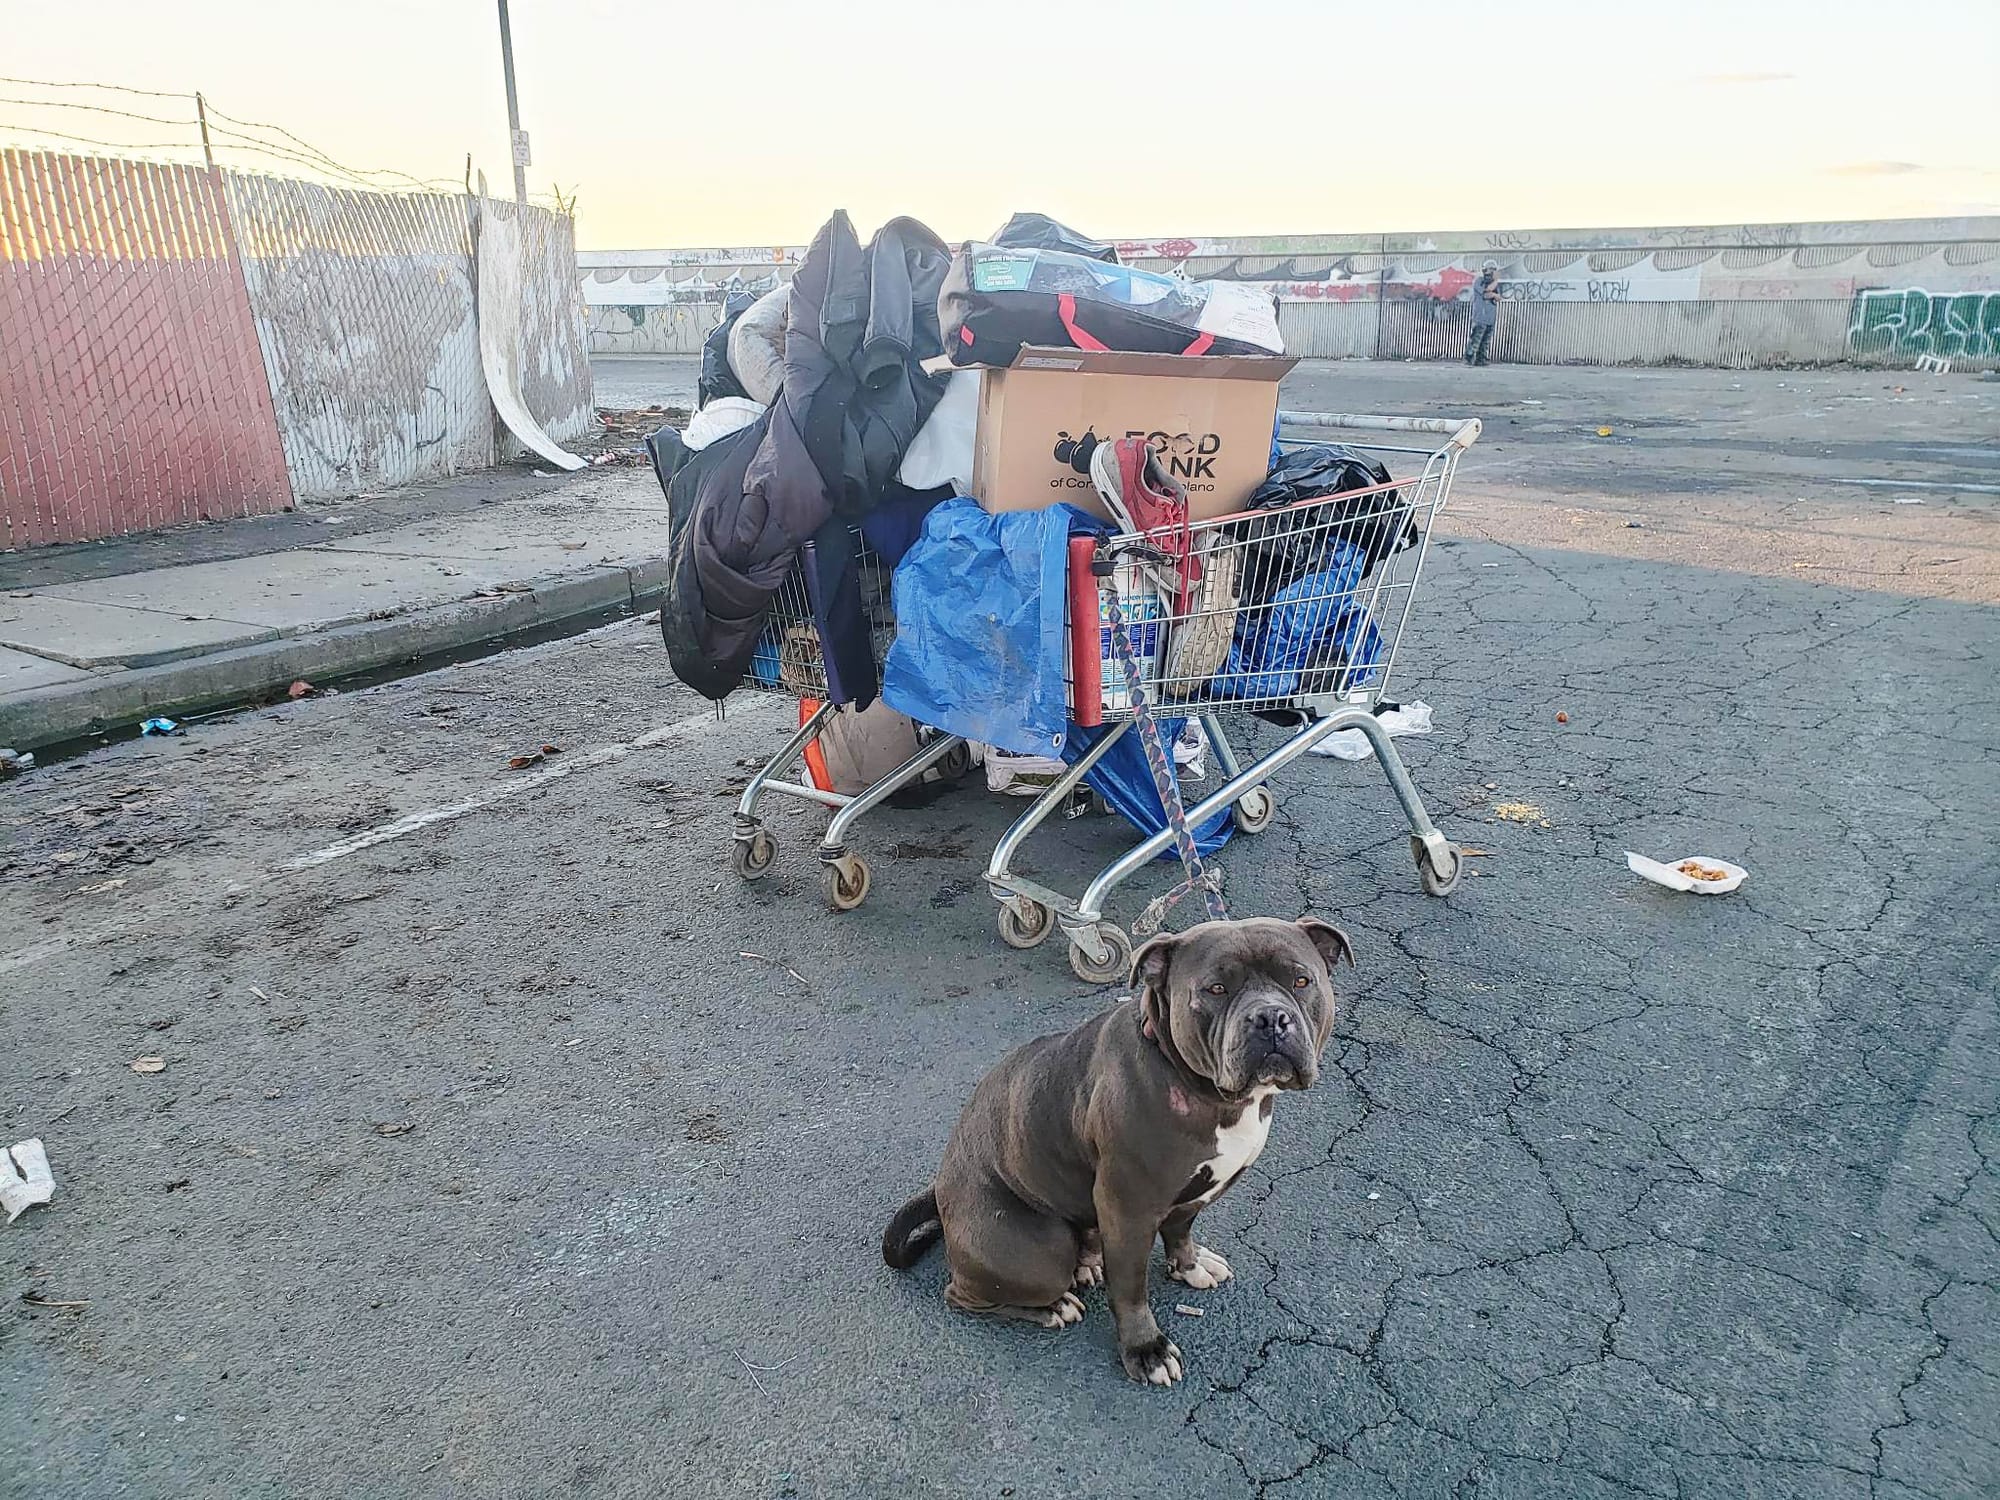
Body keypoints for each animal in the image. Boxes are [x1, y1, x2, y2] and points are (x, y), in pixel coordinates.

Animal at [884, 924, 1352, 1392]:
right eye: (1216, 989)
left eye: (1301, 981)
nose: (1270, 1017)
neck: (1210, 1093)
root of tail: (941, 1191)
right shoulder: (1129, 1211)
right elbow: (1130, 1289)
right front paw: (1146, 1350)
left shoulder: (1192, 1194)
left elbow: (1180, 1231)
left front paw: (1189, 1265)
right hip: (1037, 1253)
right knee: (966, 1294)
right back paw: (1052, 1307)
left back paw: (1087, 1264)